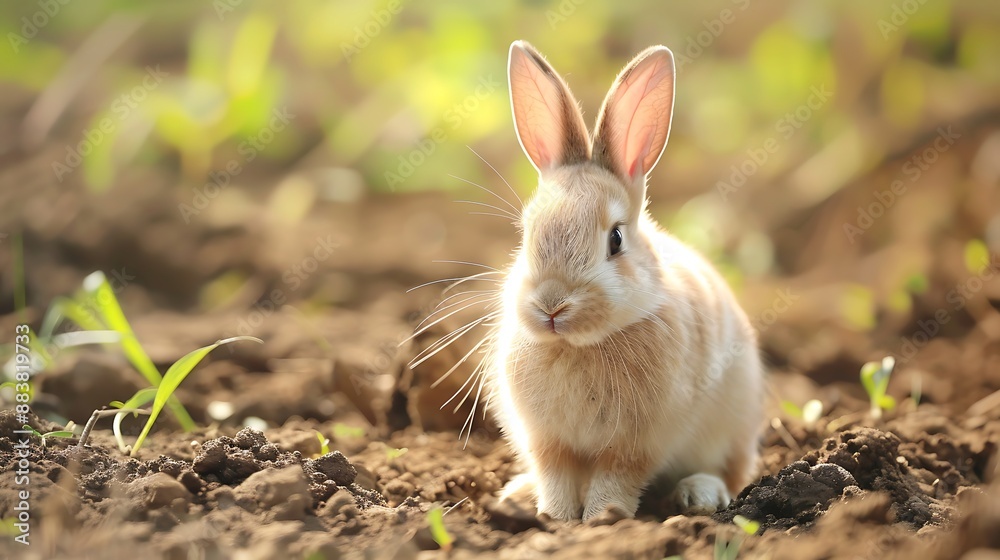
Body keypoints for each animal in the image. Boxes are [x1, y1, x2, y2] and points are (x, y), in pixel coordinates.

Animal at [489, 40, 765, 522]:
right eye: (526, 234)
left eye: (615, 239)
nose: (551, 305)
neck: (577, 346)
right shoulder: (548, 442)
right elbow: (556, 477)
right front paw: (554, 518)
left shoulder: (635, 445)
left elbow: (613, 480)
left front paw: (602, 518)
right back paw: (518, 495)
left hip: (733, 426)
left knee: (729, 473)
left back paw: (699, 494)